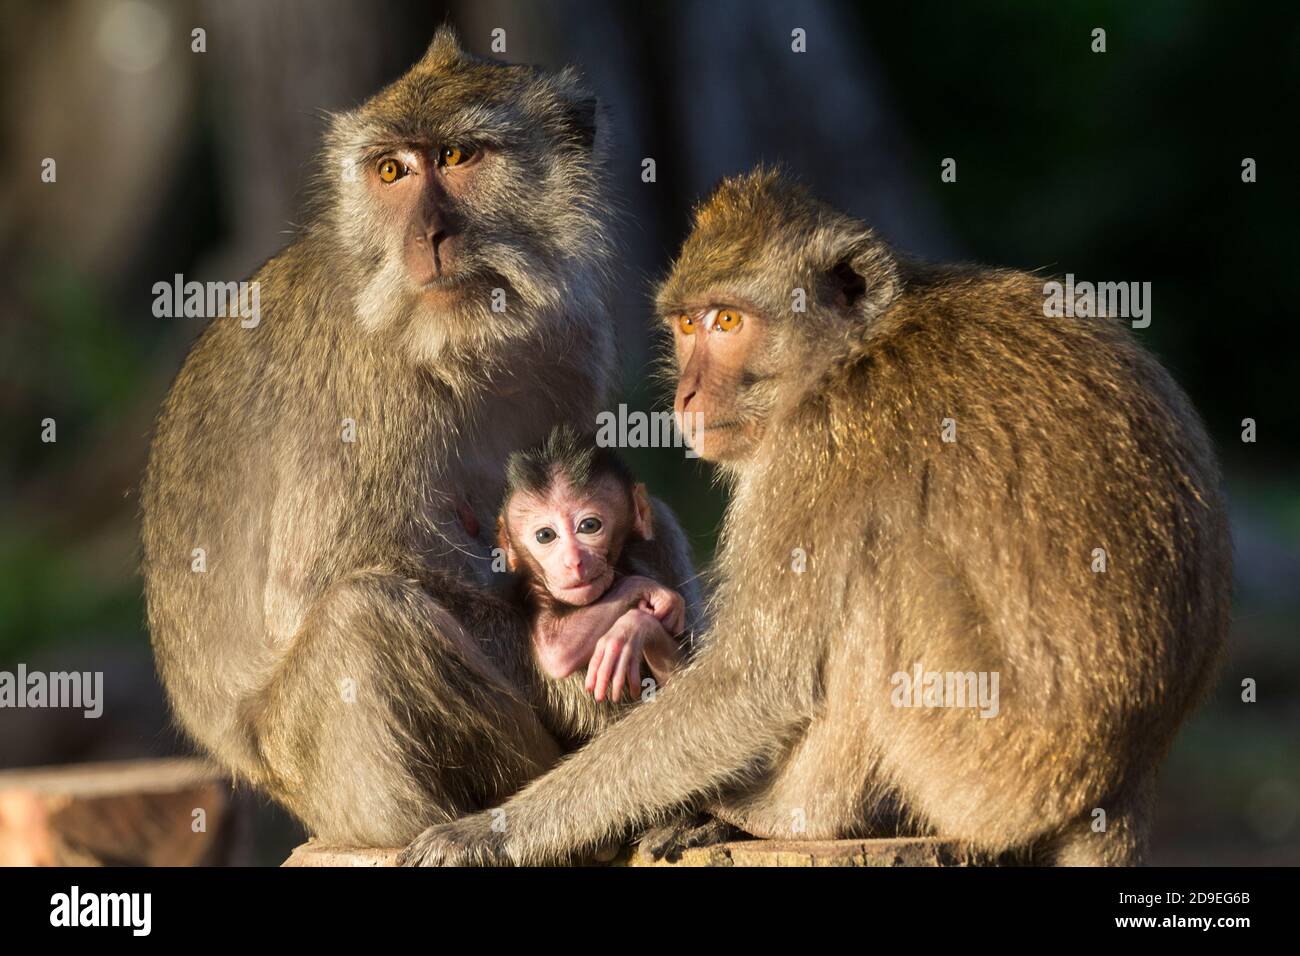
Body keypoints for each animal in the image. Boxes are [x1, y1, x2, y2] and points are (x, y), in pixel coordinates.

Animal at [496, 424, 696, 717]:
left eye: (589, 526)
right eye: (545, 535)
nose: (573, 560)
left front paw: (636, 627)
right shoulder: (535, 593)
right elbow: (555, 649)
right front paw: (644, 605)